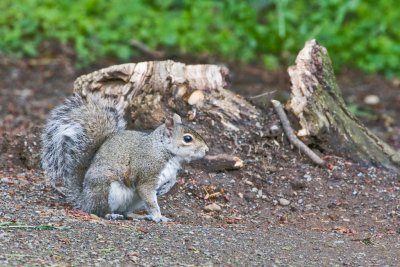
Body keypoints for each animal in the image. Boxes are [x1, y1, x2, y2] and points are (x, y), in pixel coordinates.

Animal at [41, 95, 209, 223]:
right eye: (187, 138)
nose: (206, 150)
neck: (164, 152)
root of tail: (84, 199)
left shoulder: (171, 173)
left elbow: (171, 181)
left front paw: (165, 190)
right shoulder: (147, 174)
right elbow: (149, 198)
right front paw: (158, 216)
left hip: (134, 200)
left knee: (125, 211)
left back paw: (136, 215)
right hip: (105, 190)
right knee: (98, 211)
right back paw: (111, 214)